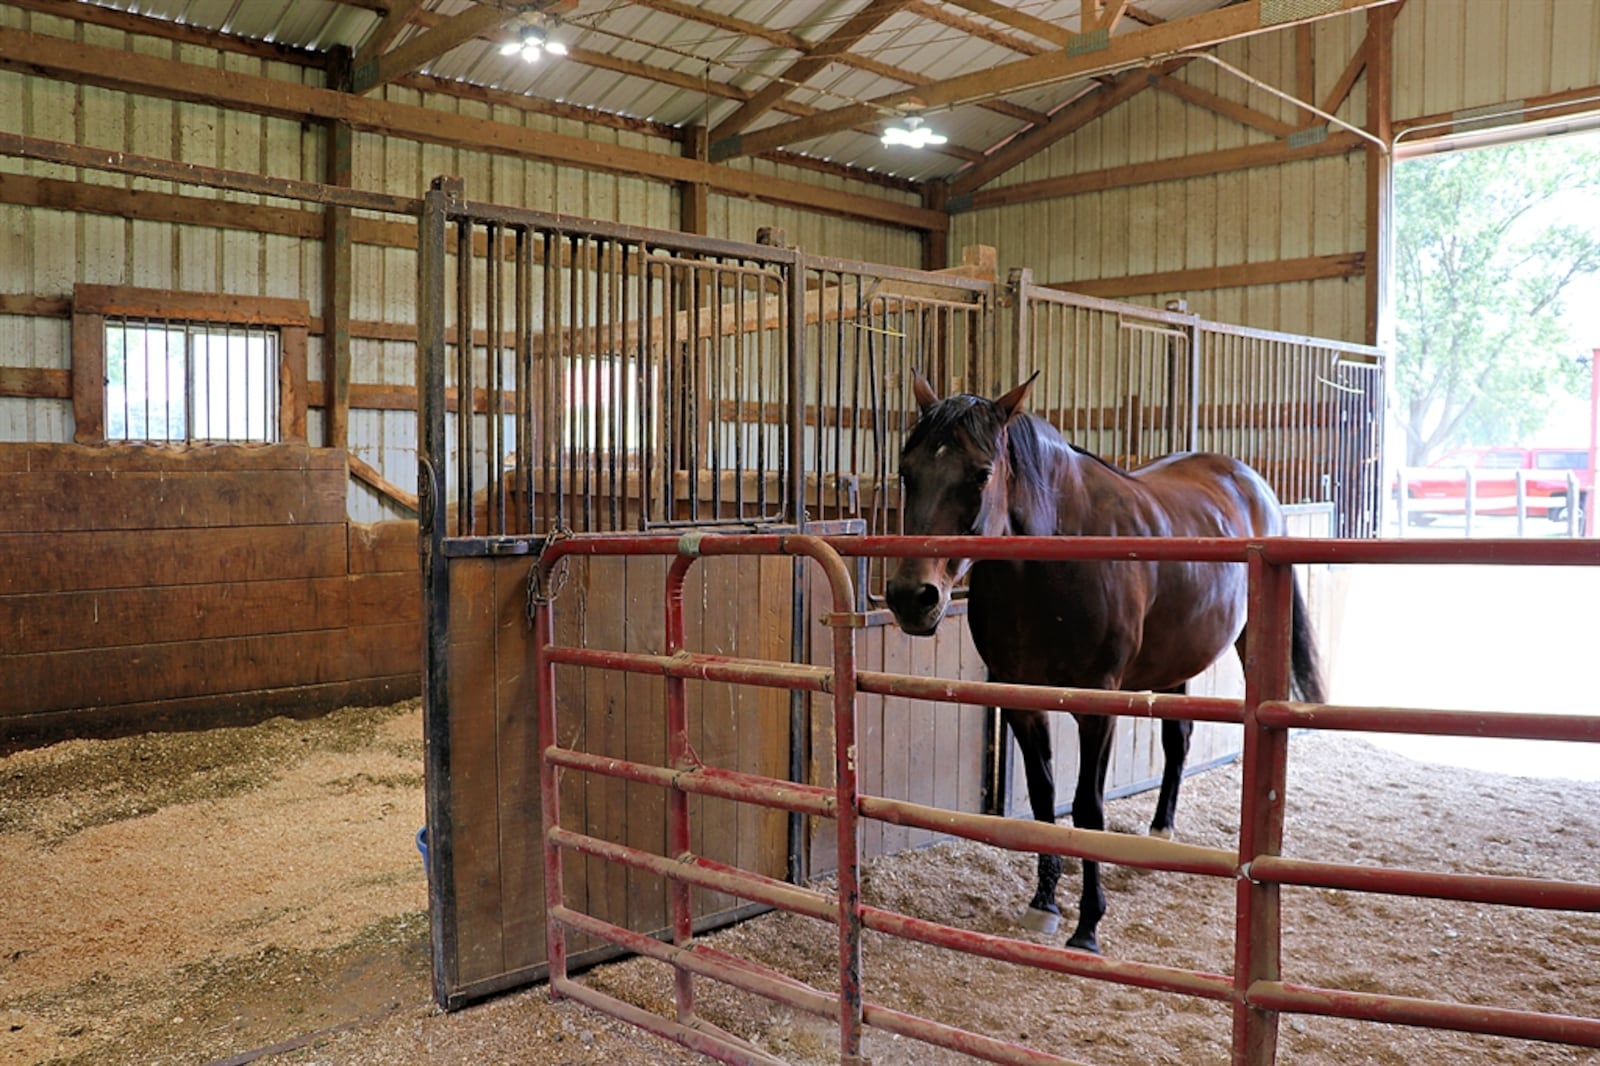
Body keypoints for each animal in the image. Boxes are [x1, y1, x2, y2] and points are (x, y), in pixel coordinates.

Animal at [876, 369, 1324, 947]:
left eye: (980, 474)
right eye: (906, 471)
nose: (912, 598)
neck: (1051, 564)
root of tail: (1250, 480)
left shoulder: (1097, 705)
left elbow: (1088, 807)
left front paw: (1087, 924)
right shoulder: (1022, 700)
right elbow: (1043, 798)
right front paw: (1044, 903)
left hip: (1248, 646)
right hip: (1174, 662)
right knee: (1178, 740)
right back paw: (1160, 831)